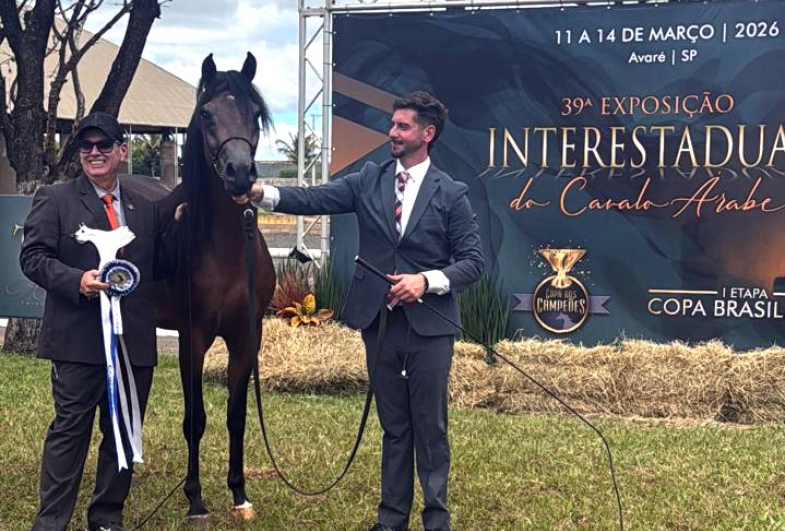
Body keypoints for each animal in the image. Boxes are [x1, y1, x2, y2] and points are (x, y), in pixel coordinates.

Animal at [126, 52, 276, 519]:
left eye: (255, 113)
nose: (240, 174)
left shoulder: (247, 336)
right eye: (207, 113)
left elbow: (236, 416)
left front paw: (239, 494)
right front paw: (194, 498)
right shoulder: (193, 337)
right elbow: (196, 420)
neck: (225, 248)